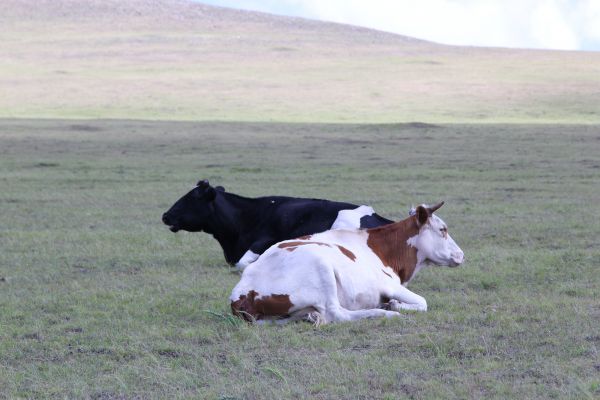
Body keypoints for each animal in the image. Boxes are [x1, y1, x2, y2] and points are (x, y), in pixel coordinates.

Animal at [230, 202, 464, 324]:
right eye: (443, 229)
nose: (461, 255)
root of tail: (242, 294)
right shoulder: (389, 285)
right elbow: (423, 302)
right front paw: (395, 305)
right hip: (322, 266)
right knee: (337, 313)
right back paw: (384, 312)